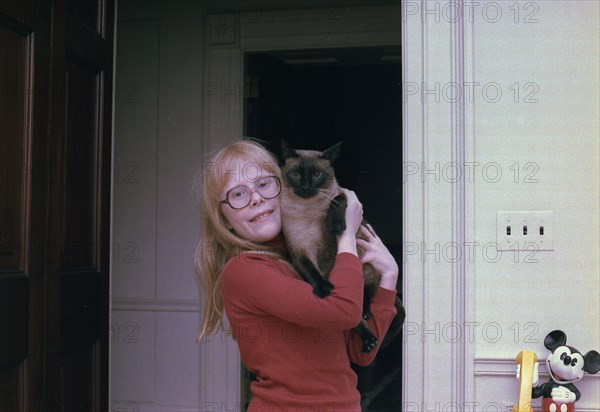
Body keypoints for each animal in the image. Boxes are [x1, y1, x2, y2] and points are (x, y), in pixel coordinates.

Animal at [278, 140, 406, 352]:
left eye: (317, 174)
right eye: (295, 173)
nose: (306, 186)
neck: (308, 211)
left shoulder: (345, 195)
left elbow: (337, 200)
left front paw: (335, 226)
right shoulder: (300, 249)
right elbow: (311, 272)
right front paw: (325, 289)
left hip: (363, 261)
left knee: (371, 294)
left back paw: (368, 323)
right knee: (356, 316)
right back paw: (368, 338)